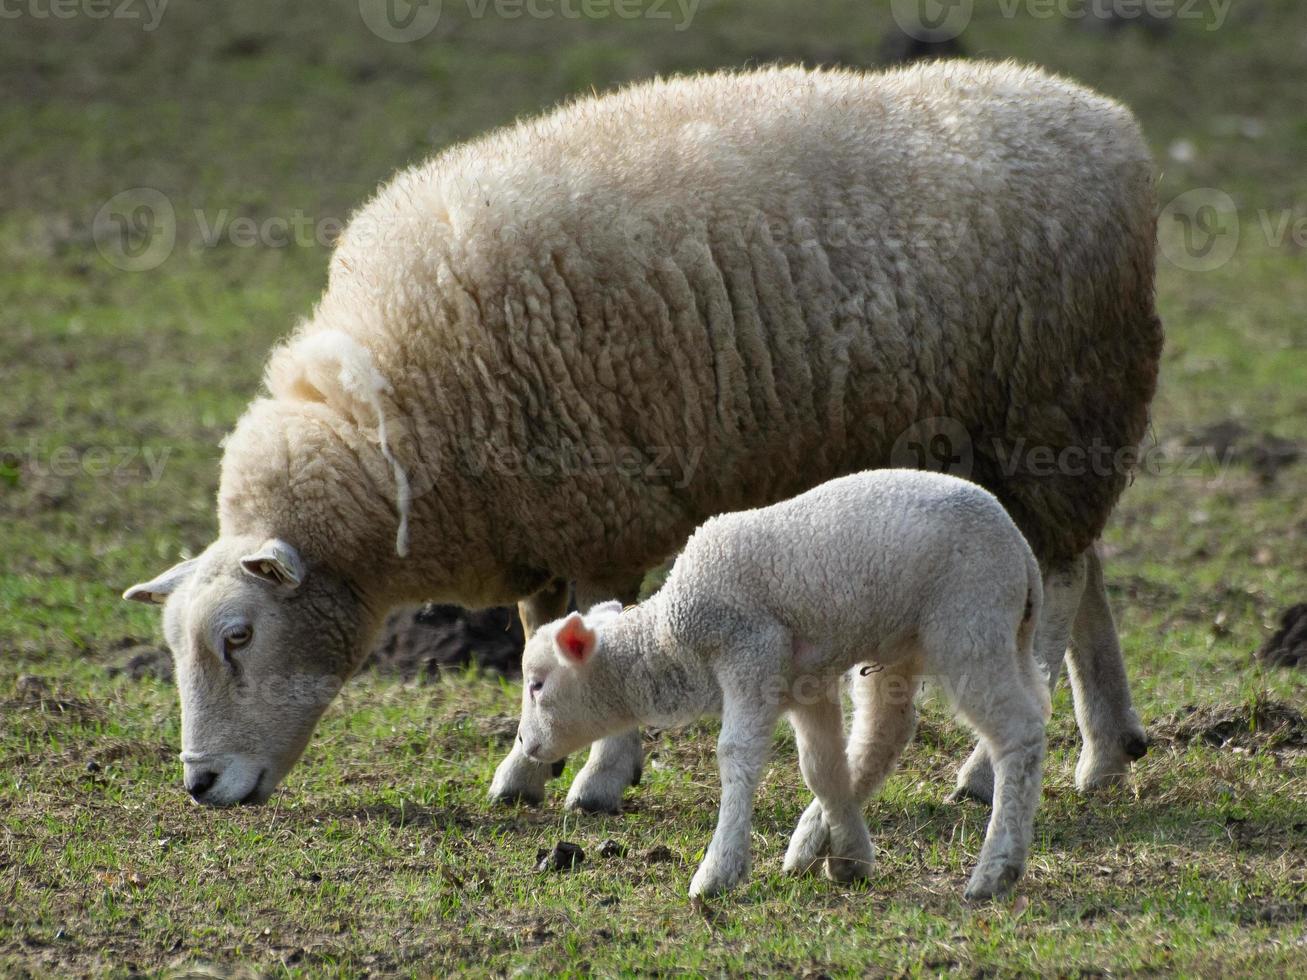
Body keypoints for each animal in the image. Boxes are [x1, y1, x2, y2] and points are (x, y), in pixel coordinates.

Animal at [124, 59, 1165, 815]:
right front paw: (525, 770)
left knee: (1057, 588)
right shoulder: (538, 516)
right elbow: (540, 640)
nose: (200, 784)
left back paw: (996, 771)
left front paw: (597, 779)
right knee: (1075, 573)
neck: (392, 434)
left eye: (238, 637)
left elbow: (595, 633)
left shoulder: (598, 506)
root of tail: (1108, 123)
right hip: (1041, 442)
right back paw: (1106, 751)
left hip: (1056, 413)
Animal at [517, 473, 1050, 904]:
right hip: (921, 641)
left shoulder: (751, 653)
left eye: (538, 685)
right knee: (889, 730)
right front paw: (852, 855)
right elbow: (822, 768)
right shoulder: (804, 684)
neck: (669, 642)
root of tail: (1023, 553)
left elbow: (736, 755)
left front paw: (718, 872)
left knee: (1018, 733)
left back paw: (996, 869)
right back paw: (818, 843)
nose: (524, 741)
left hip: (969, 624)